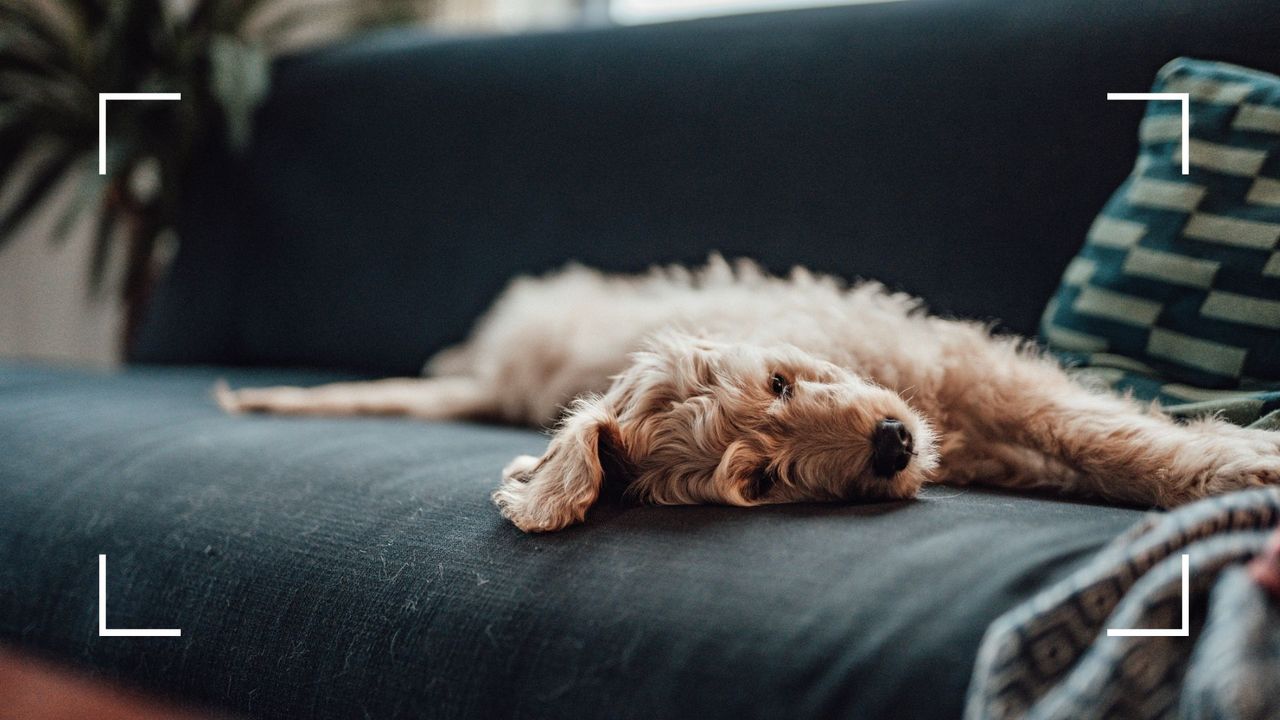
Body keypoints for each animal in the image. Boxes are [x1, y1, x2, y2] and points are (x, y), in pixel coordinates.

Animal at [220, 254, 1280, 530]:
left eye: (778, 381)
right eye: (761, 482)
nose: (892, 445)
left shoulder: (975, 368)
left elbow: (1098, 429)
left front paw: (1234, 462)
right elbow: (1093, 445)